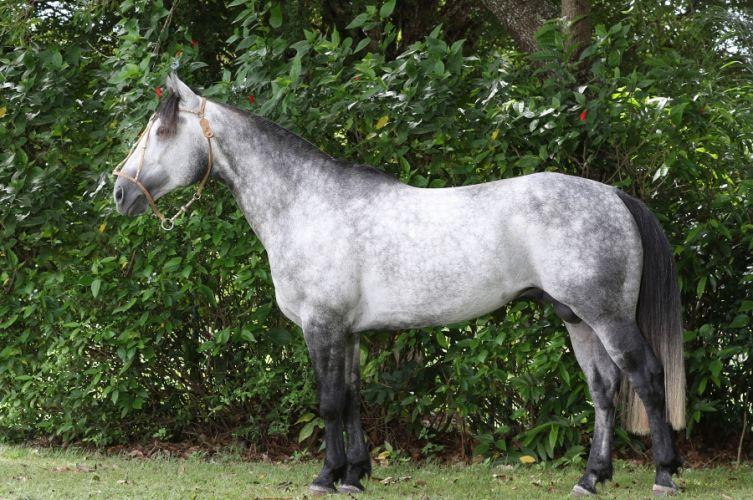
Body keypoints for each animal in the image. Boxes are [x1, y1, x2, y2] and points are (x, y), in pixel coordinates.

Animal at [113, 73, 688, 496]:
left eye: (161, 132)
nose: (120, 192)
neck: (307, 204)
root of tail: (612, 195)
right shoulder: (348, 332)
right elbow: (351, 398)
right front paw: (354, 475)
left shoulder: (322, 326)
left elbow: (328, 401)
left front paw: (326, 477)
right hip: (577, 319)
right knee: (604, 390)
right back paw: (591, 478)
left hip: (609, 318)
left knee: (647, 379)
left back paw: (664, 473)